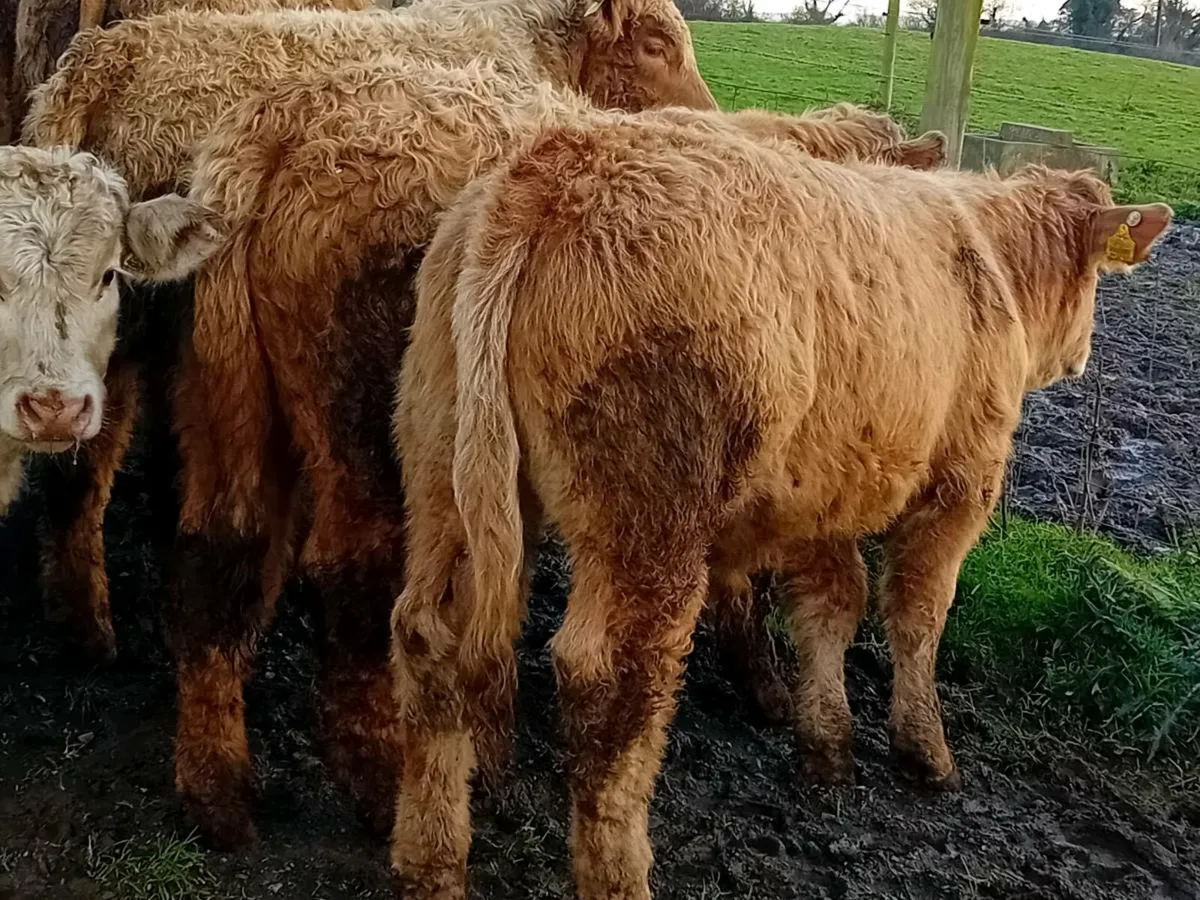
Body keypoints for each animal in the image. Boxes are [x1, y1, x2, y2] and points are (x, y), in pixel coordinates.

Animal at [387, 112, 1173, 899]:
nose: (1080, 356)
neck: (986, 259)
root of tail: (551, 171)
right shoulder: (961, 482)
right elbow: (917, 612)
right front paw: (924, 749)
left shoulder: (829, 491)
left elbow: (831, 604)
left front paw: (823, 740)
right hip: (651, 522)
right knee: (610, 681)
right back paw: (620, 874)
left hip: (442, 475)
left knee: (431, 641)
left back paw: (433, 864)